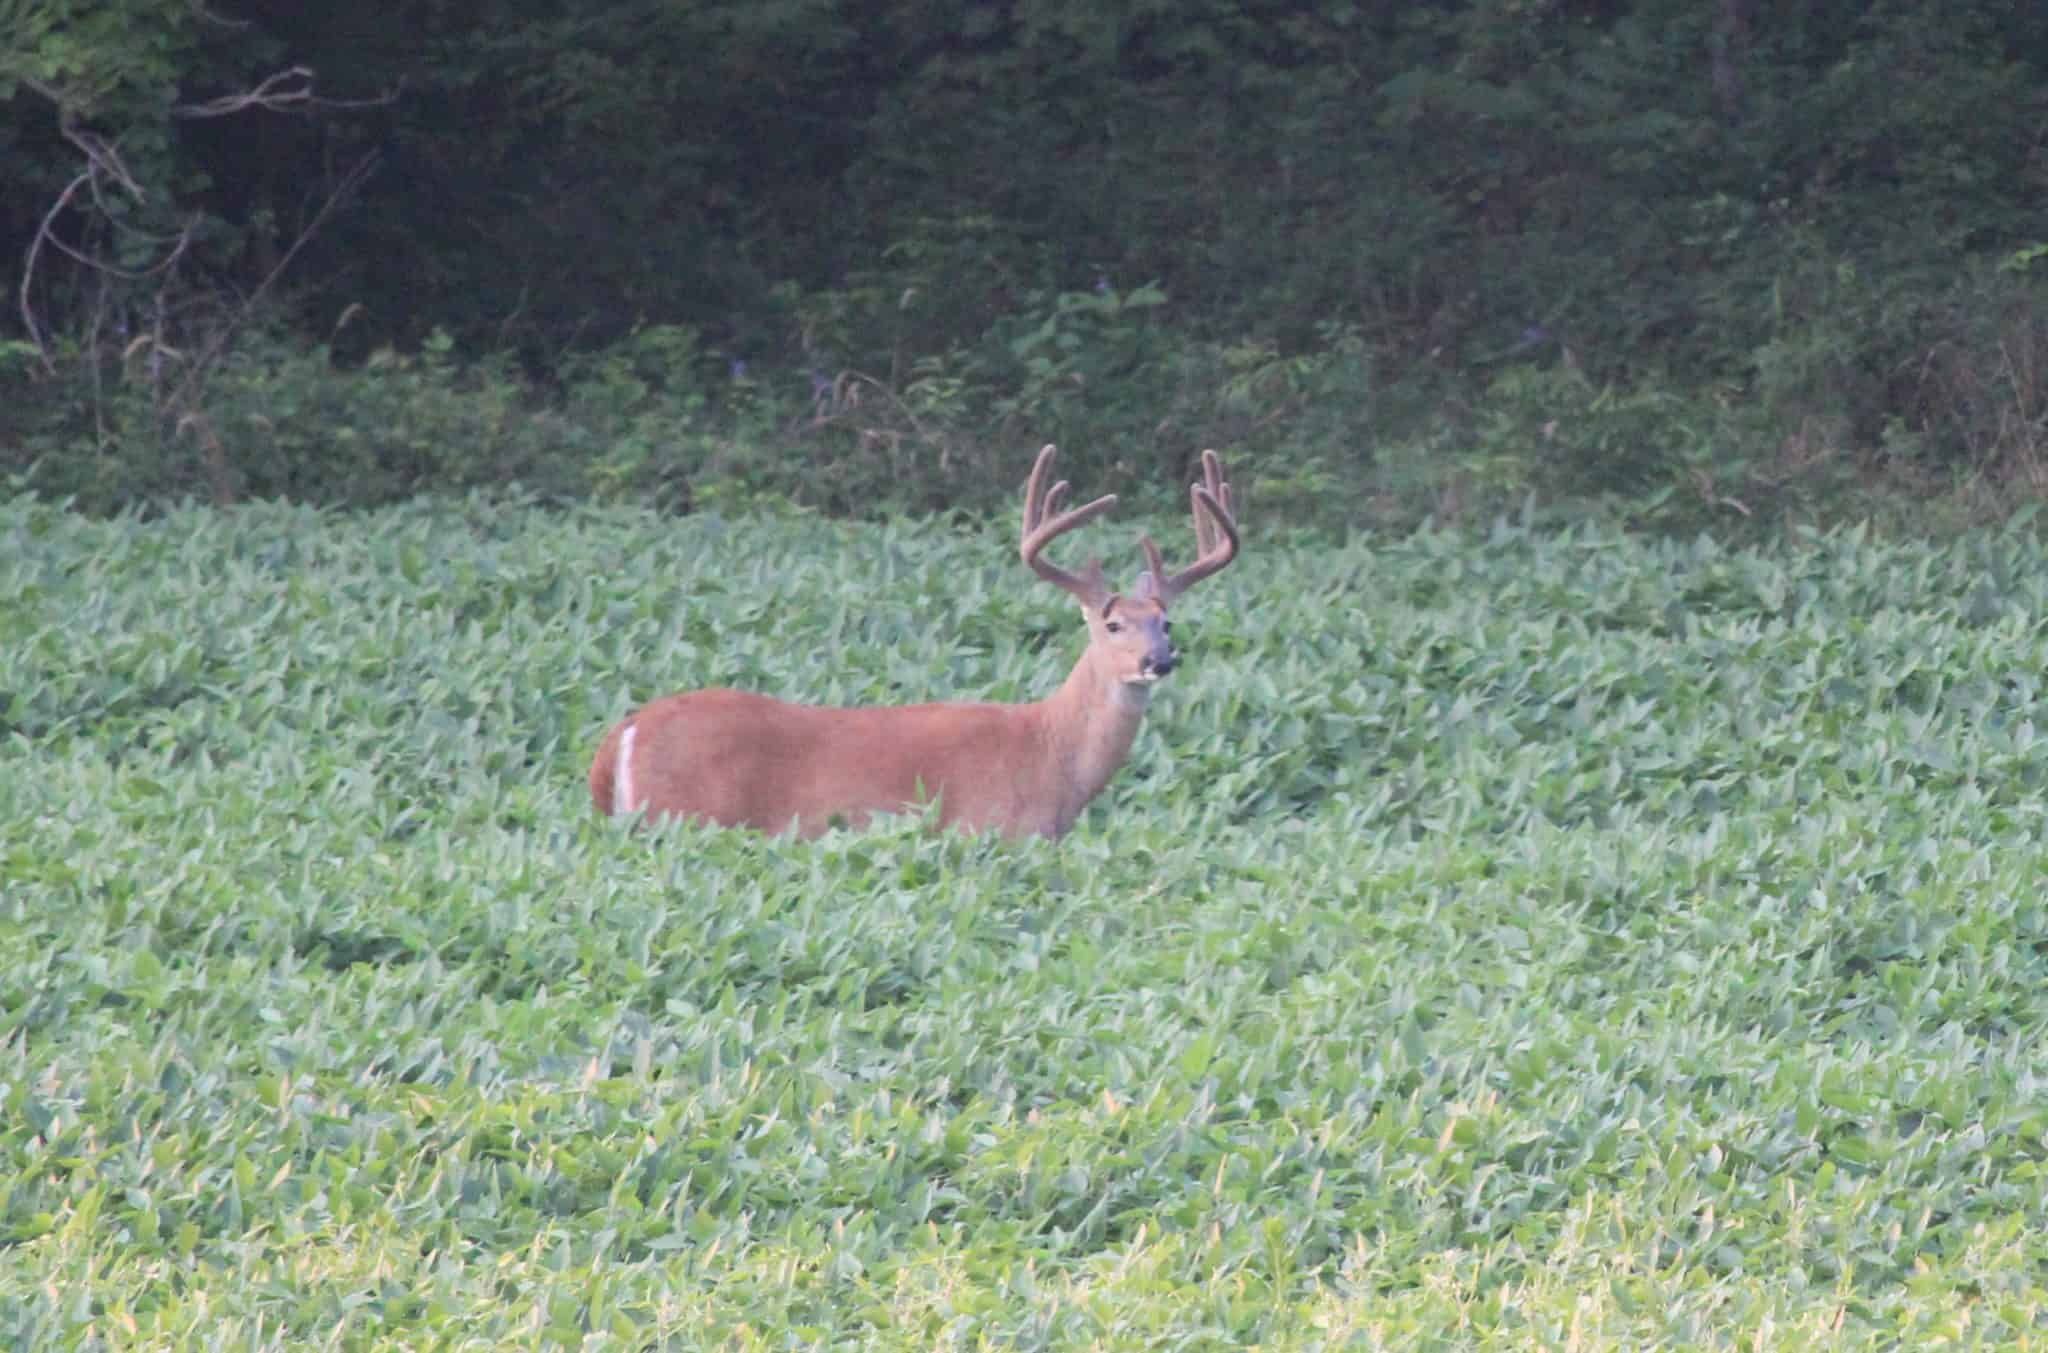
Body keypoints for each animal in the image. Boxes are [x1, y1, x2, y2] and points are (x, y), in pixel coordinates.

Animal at [585, 448, 1236, 839]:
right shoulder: (991, 828)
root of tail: (626, 732)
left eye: (1167, 623)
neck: (1052, 755)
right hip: (684, 814)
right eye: (1113, 625)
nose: (1160, 661)